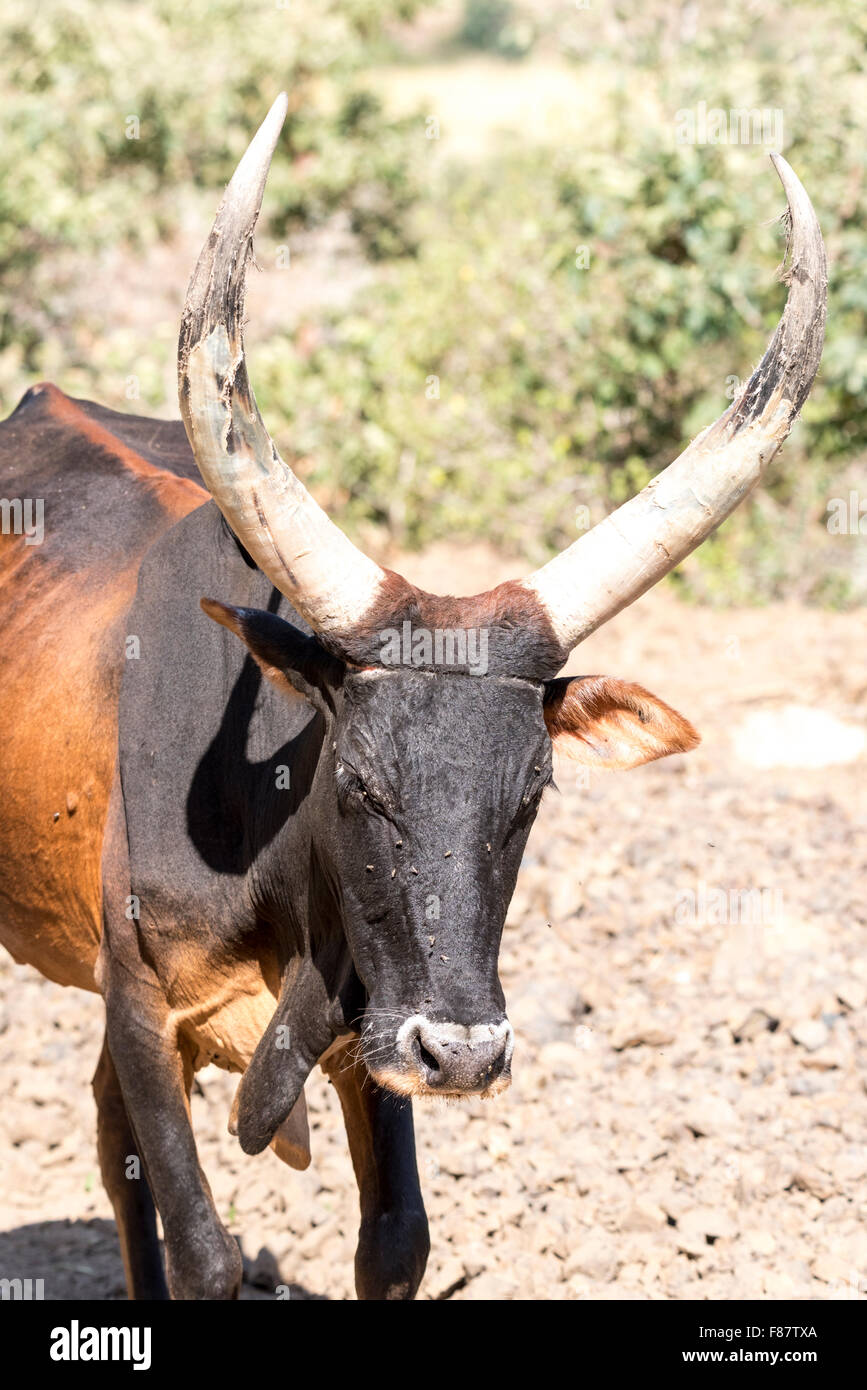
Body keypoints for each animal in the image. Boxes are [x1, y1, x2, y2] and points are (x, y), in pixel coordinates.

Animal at [0, 100, 828, 1301]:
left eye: (534, 791)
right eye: (354, 779)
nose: (467, 1053)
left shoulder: (373, 1030)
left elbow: (396, 1238)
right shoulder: (146, 1007)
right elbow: (201, 1243)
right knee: (120, 1154)